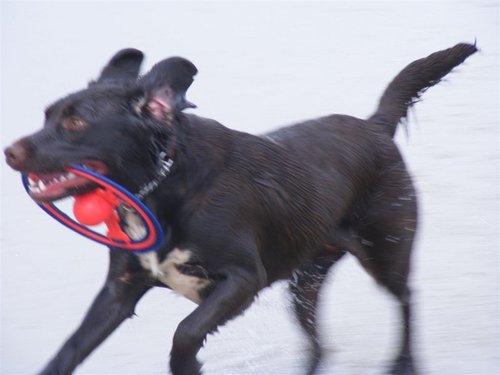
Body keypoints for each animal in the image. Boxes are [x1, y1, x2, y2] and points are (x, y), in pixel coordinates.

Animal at [3, 42, 474, 374]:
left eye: (76, 122)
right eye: (46, 115)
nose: (9, 151)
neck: (165, 184)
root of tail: (375, 127)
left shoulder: (243, 280)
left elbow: (185, 331)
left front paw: (186, 366)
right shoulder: (119, 289)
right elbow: (72, 346)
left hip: (386, 249)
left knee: (406, 299)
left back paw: (404, 363)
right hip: (305, 283)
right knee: (318, 342)